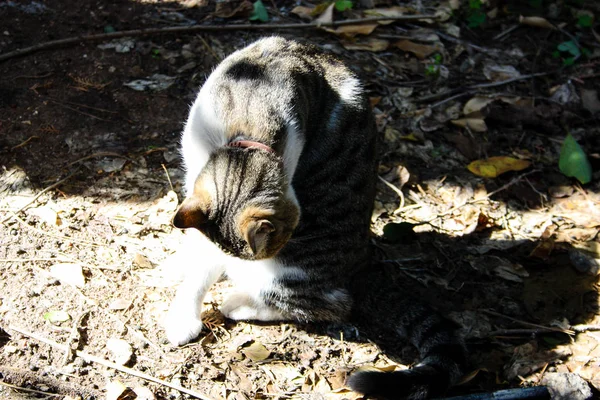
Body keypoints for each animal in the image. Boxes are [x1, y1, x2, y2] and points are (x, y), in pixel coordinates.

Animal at [165, 36, 468, 398]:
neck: (241, 128)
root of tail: (363, 263)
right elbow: (200, 252)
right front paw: (183, 290)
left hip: (294, 269)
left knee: (328, 303)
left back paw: (239, 302)